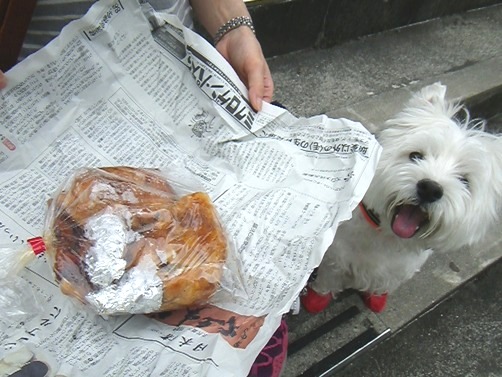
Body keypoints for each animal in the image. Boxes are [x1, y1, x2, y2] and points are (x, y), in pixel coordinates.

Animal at [302, 83, 502, 312]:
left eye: (464, 181)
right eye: (415, 155)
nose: (430, 189)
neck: (385, 236)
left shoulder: (397, 270)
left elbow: (383, 283)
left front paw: (377, 297)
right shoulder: (337, 256)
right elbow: (329, 278)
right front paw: (318, 297)